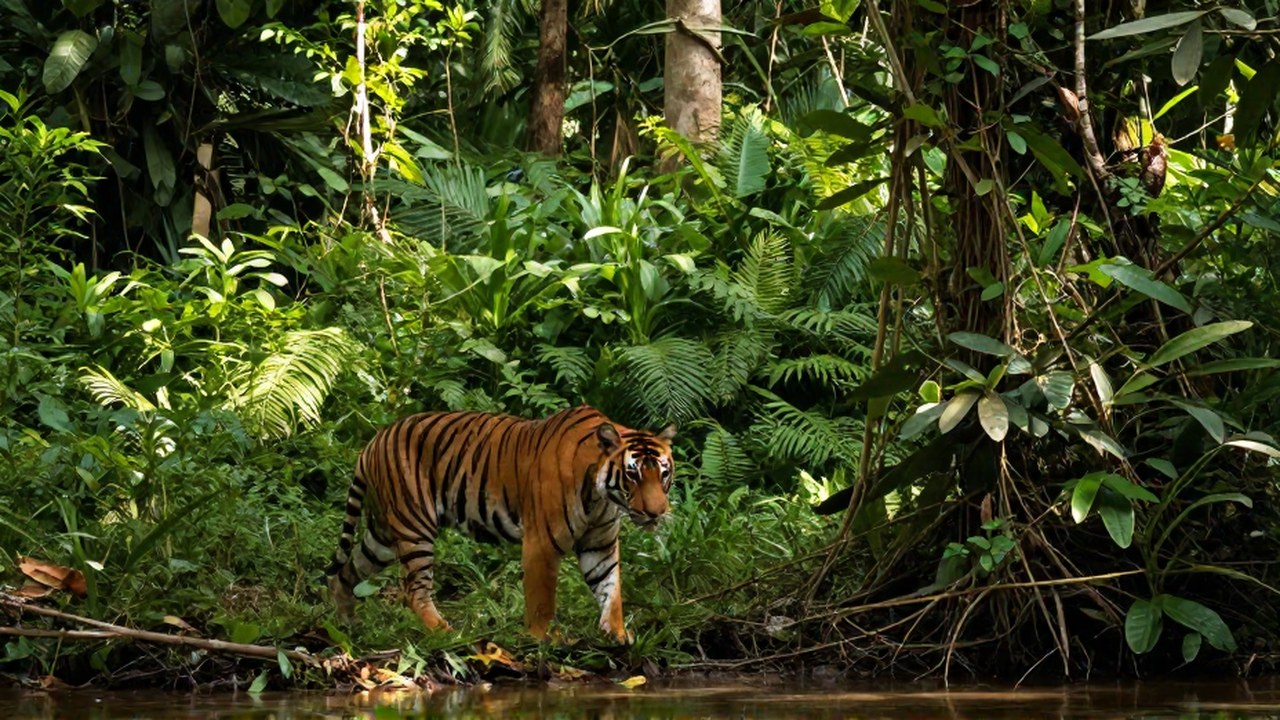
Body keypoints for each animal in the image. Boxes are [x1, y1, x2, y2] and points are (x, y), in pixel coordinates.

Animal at [325, 404, 676, 643]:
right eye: (632, 475)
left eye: (663, 473)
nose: (657, 513)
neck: (602, 496)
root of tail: (373, 441)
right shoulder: (541, 543)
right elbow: (541, 598)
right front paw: (541, 637)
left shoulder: (599, 544)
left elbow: (611, 588)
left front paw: (617, 633)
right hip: (415, 527)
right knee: (414, 588)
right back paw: (445, 632)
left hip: (383, 535)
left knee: (346, 572)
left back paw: (346, 624)